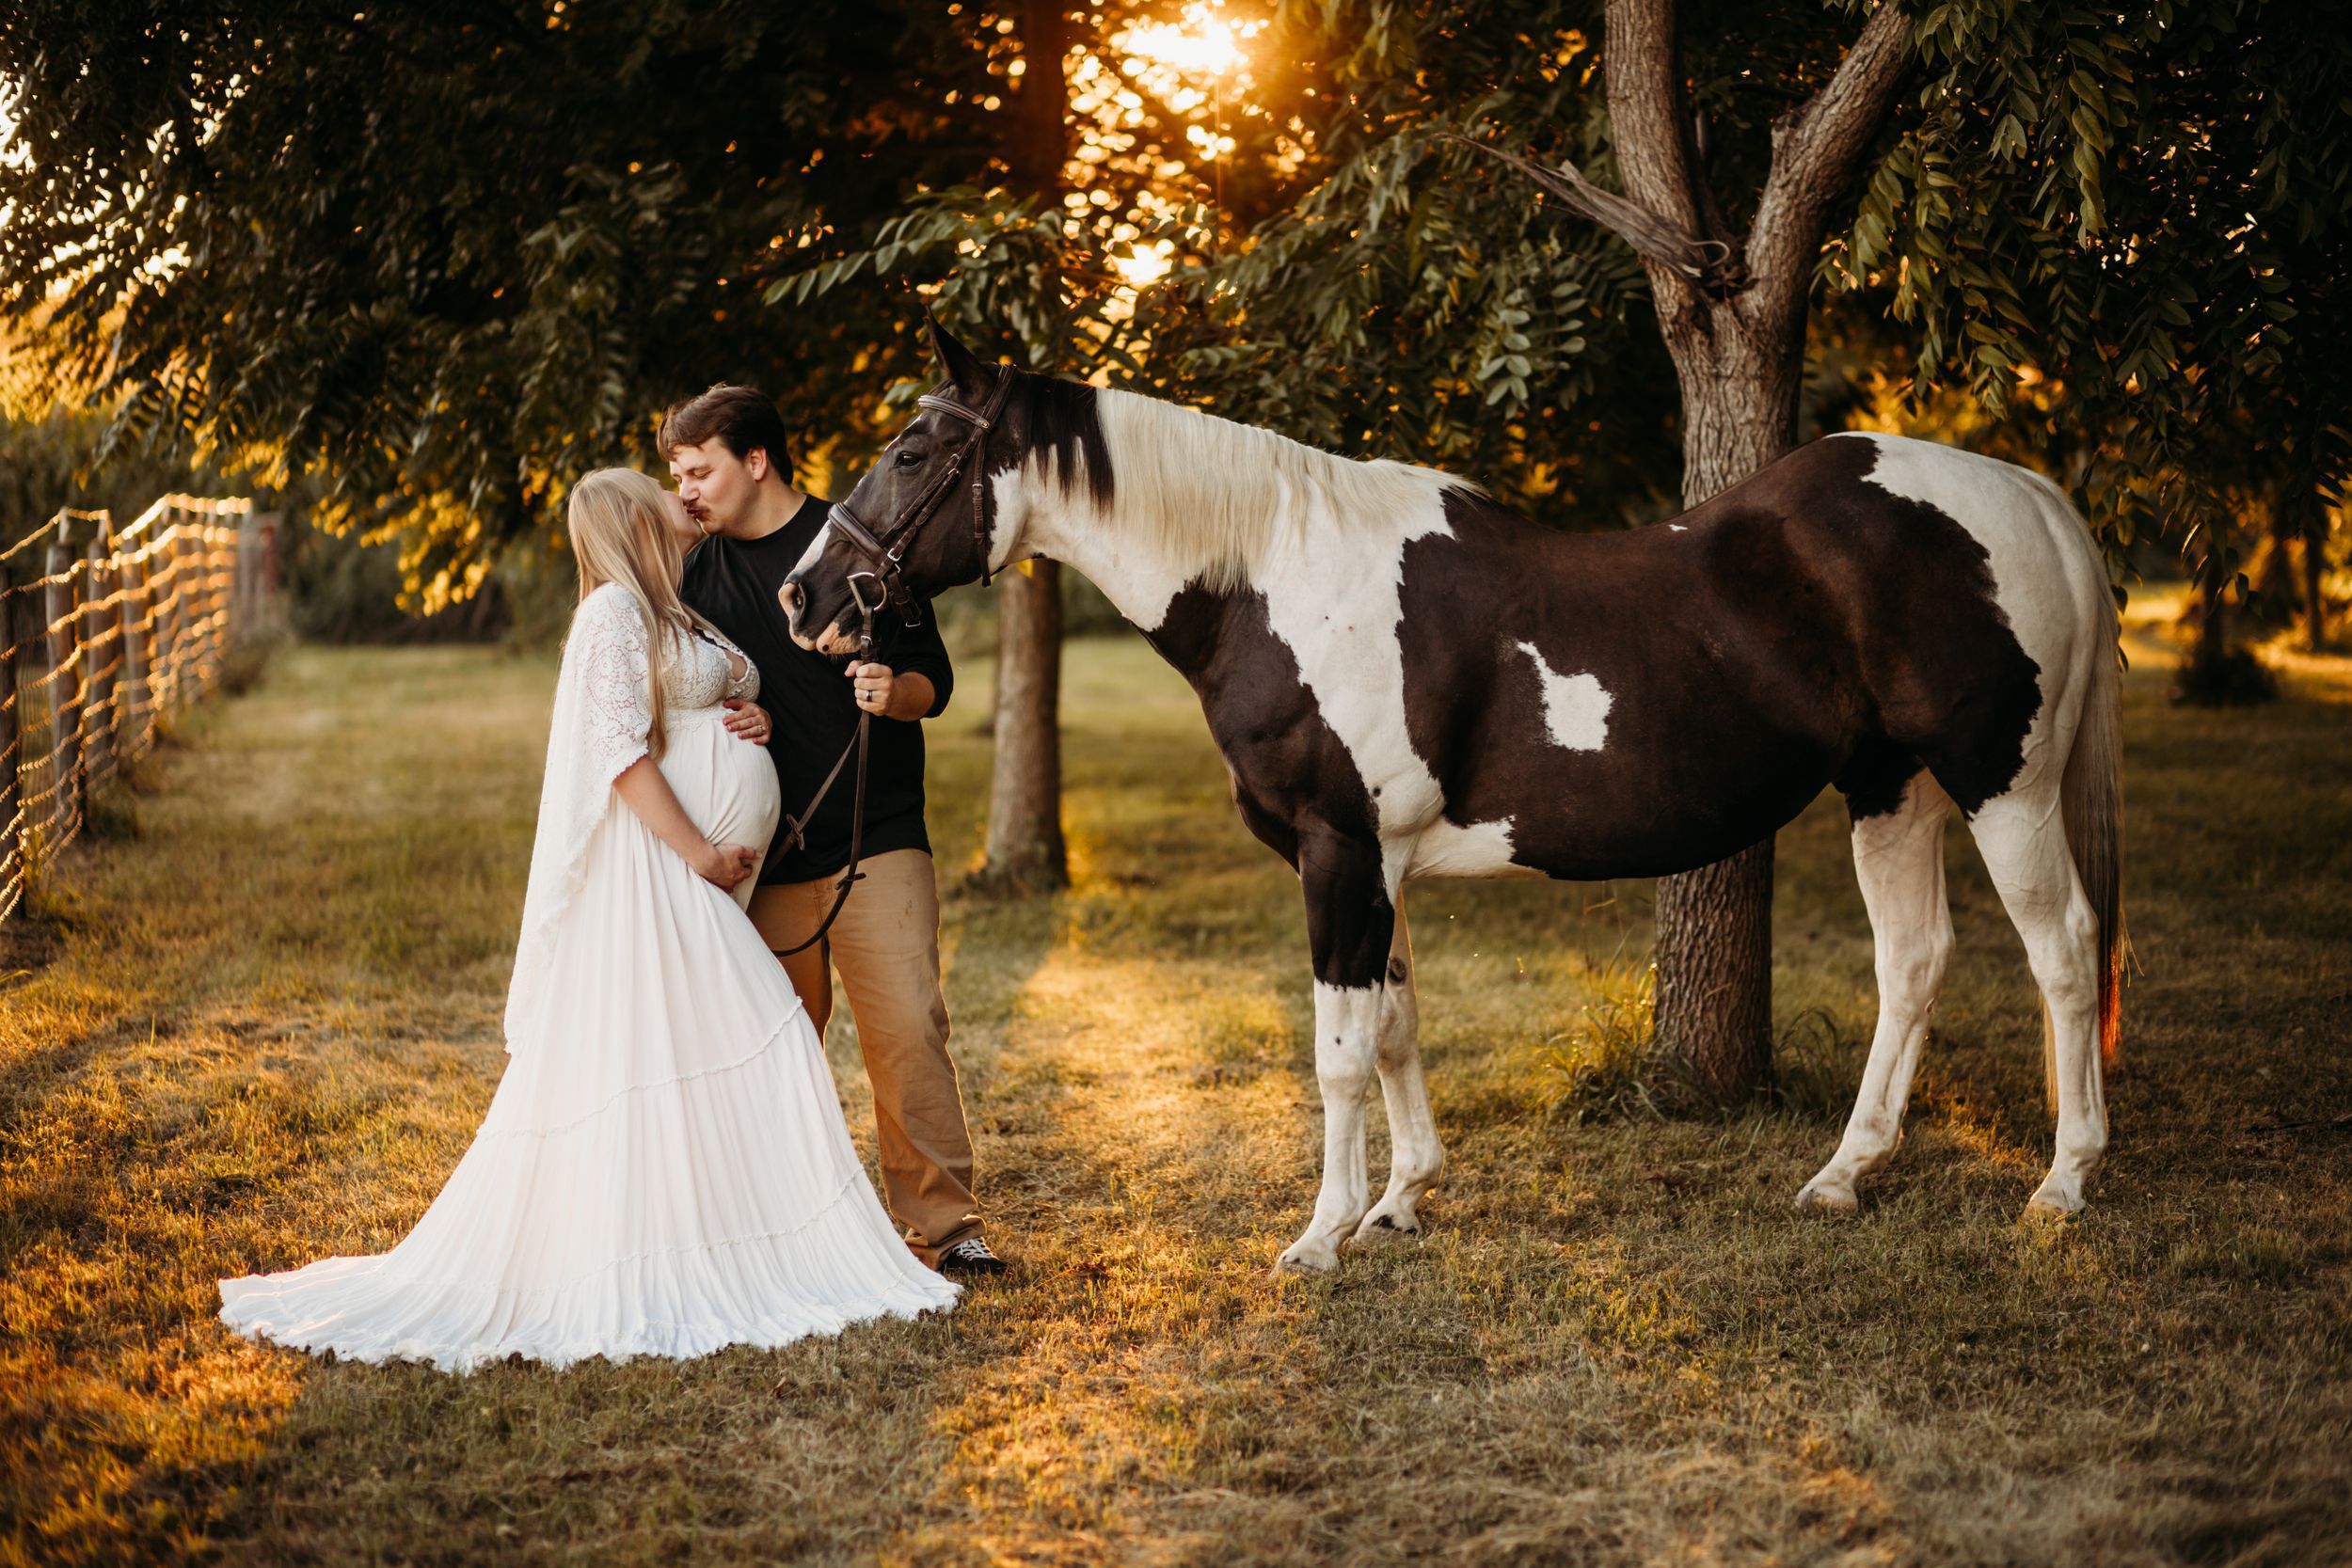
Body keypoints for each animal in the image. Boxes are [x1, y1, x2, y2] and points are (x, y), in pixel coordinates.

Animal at [781, 320, 2124, 1273]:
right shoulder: (1377, 862)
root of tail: (2028, 495)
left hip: (2003, 787)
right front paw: (1398, 1201)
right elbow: (1396, 1027)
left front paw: (1319, 1234)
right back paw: (1844, 1174)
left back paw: (2064, 1179)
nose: (805, 595)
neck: (1273, 575)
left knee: (2062, 953)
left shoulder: (1338, 854)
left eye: (911, 450)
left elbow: (1336, 1051)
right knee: (1913, 961)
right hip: (1892, 788)